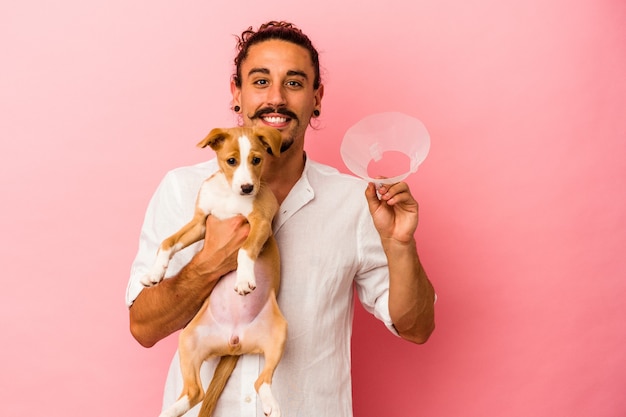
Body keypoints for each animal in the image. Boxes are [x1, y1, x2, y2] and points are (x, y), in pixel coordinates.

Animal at [141, 126, 286, 416]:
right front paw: (155, 273)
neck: (229, 194)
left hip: (280, 333)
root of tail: (235, 342)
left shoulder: (260, 223)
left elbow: (244, 250)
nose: (247, 188)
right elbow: (167, 241)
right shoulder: (200, 223)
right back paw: (169, 412)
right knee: (195, 392)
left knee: (260, 382)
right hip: (188, 341)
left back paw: (271, 405)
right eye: (231, 161)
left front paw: (244, 279)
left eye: (256, 160)